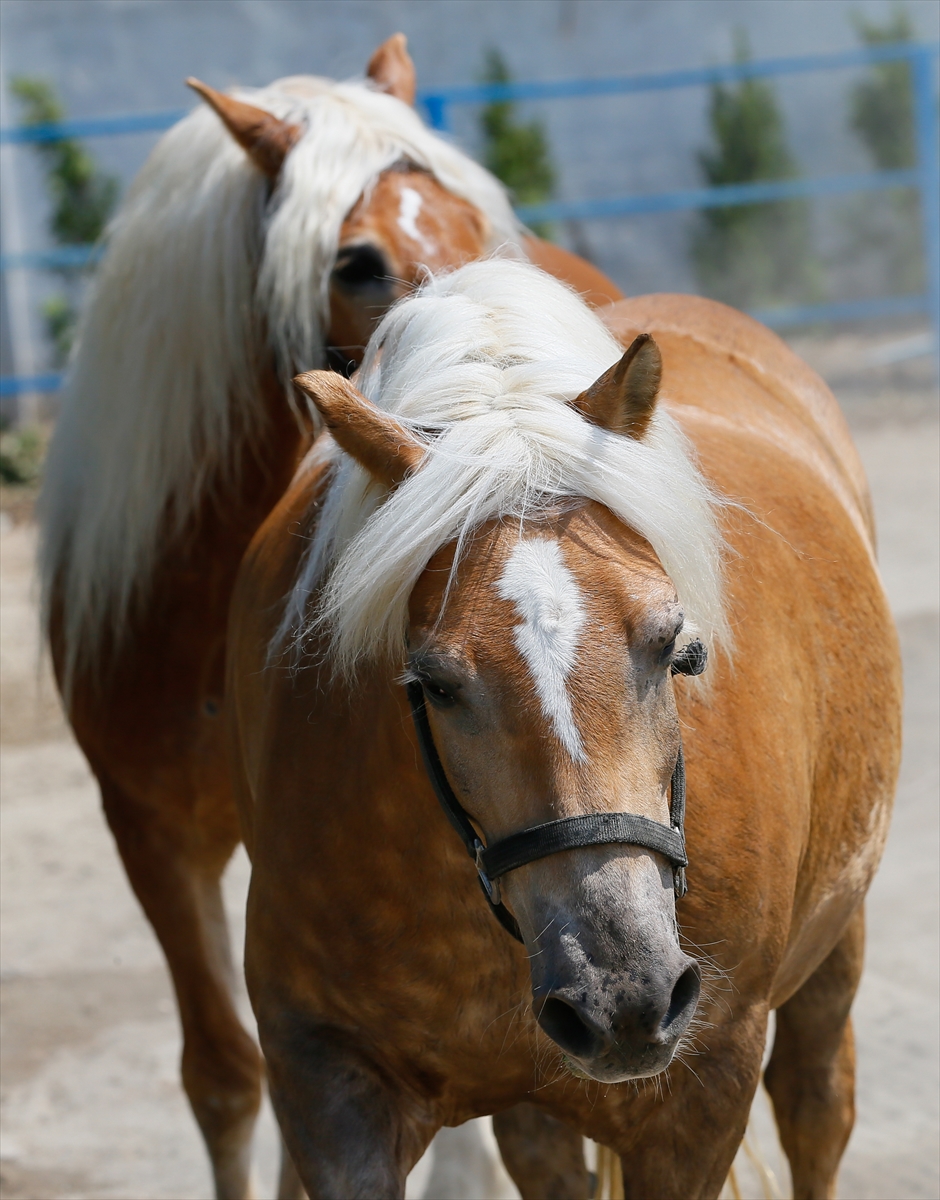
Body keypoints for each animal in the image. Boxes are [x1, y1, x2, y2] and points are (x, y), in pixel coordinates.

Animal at [229, 262, 902, 1200]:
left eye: (677, 647)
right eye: (434, 685)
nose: (625, 994)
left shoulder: (702, 1096)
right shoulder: (326, 1079)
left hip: (833, 949)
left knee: (817, 1108)